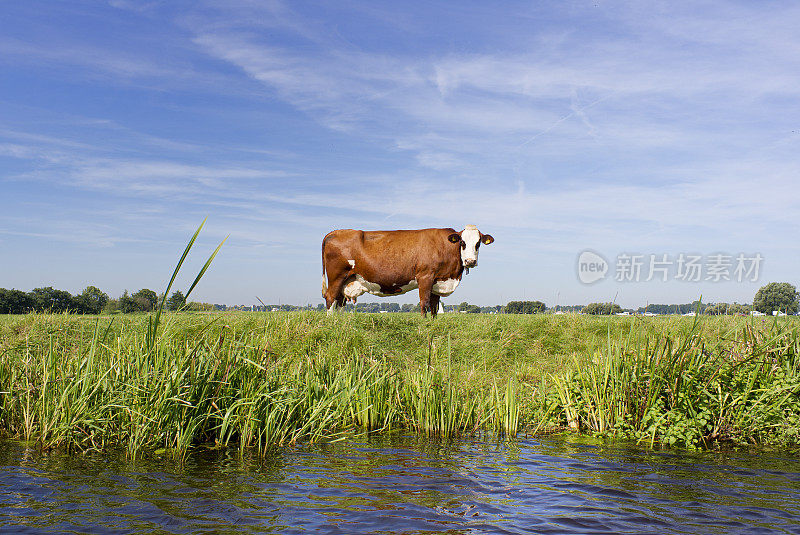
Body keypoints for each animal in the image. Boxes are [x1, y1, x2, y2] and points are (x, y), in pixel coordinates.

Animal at [322, 224, 490, 316]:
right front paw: (425, 326)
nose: (470, 261)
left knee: (339, 301)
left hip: (347, 280)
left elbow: (435, 308)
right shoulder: (425, 277)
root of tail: (335, 232)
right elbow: (425, 304)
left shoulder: (437, 282)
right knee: (330, 298)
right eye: (462, 242)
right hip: (336, 276)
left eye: (478, 243)